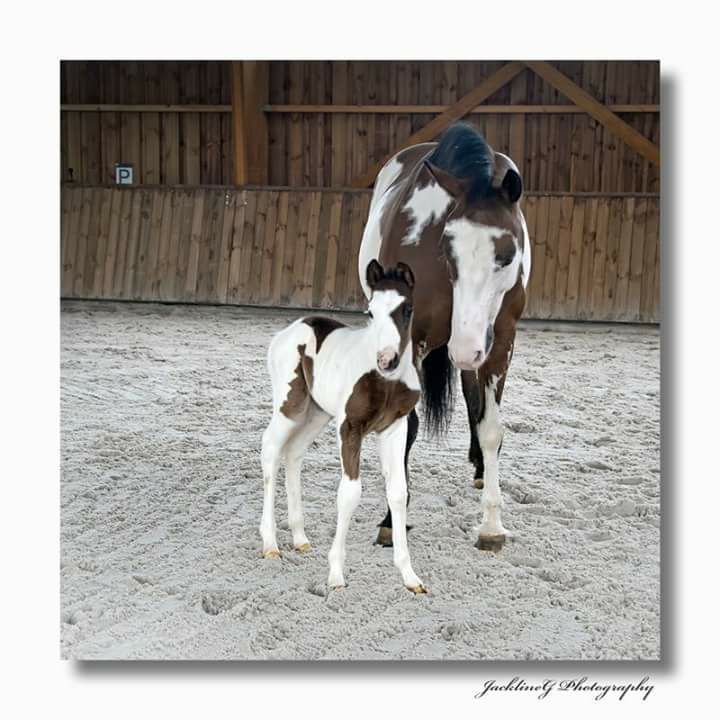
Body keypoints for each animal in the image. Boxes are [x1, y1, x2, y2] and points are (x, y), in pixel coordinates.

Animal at [260, 262, 424, 592]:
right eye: (370, 311)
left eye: (407, 308)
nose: (387, 359)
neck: (384, 381)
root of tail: (290, 330)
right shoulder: (350, 428)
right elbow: (349, 493)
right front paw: (336, 574)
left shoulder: (395, 428)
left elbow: (398, 492)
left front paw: (410, 576)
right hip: (290, 407)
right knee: (270, 449)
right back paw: (270, 543)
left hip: (317, 413)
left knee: (293, 453)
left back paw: (300, 538)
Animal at [358, 124, 532, 552]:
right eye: (447, 250)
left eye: (507, 254)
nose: (465, 350)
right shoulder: (412, 339)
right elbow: (407, 424)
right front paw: (392, 520)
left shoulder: (500, 341)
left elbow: (490, 425)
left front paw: (492, 525)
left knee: (474, 398)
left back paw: (482, 468)